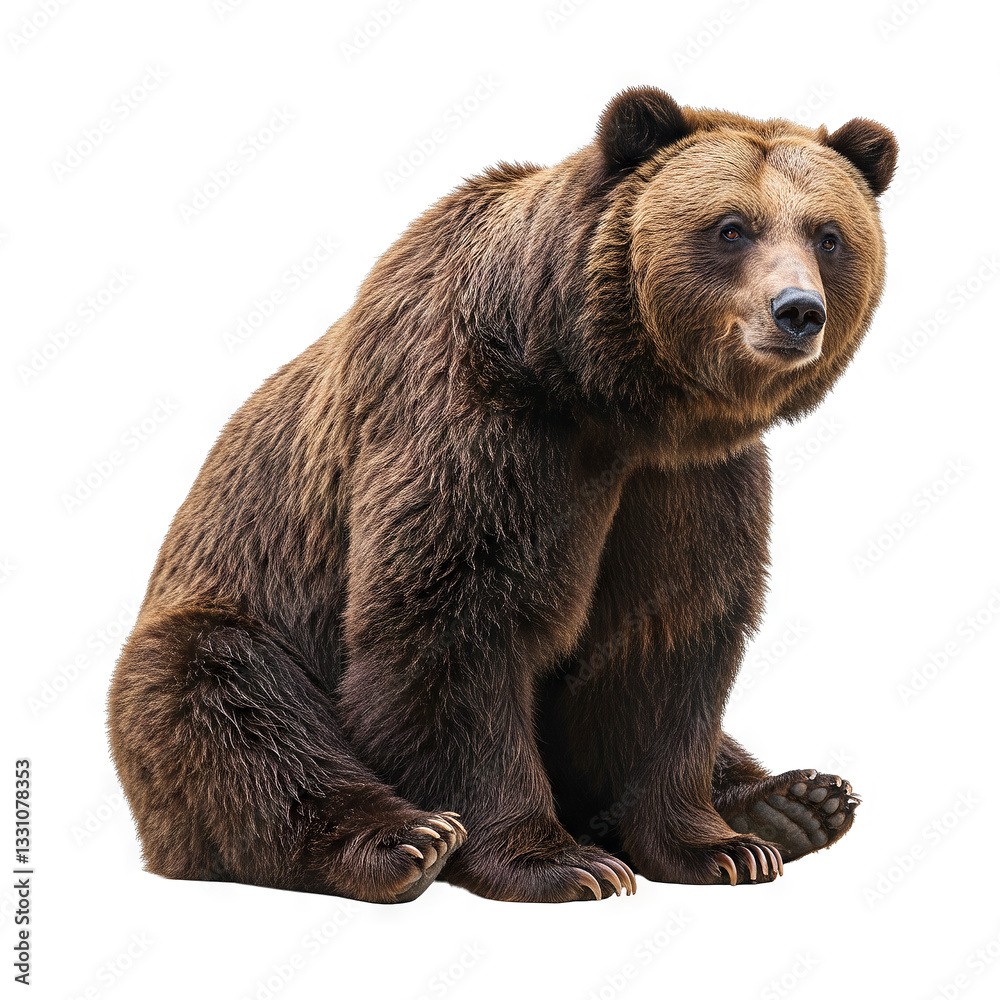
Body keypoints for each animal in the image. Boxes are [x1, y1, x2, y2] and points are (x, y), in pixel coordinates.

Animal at [108, 86, 896, 903]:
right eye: (732, 227)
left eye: (829, 235)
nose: (797, 310)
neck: (609, 399)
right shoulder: (482, 426)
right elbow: (456, 620)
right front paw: (564, 862)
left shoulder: (688, 483)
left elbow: (665, 638)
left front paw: (722, 847)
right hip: (231, 617)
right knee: (229, 699)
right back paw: (402, 840)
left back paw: (797, 802)